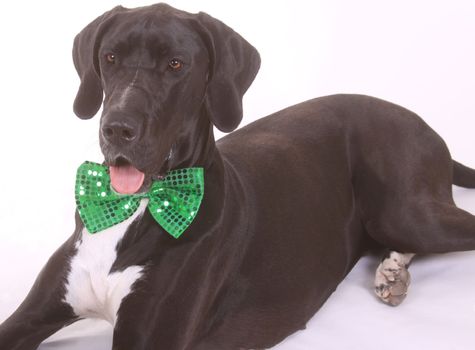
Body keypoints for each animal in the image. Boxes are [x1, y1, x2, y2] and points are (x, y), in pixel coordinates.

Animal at [0, 3, 475, 350]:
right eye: (109, 57)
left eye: (176, 65)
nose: (117, 128)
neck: (138, 205)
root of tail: (416, 117)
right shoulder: (30, 314)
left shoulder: (149, 338)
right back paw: (392, 272)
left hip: (407, 211)